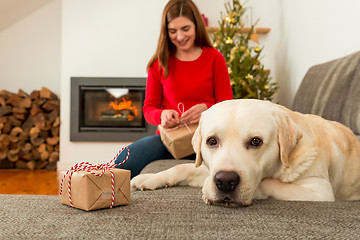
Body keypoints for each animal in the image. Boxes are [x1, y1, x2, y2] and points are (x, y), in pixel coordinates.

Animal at [131, 99, 360, 206]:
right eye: (212, 141)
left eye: (256, 141)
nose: (225, 181)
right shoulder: (209, 169)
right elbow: (181, 167)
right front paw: (150, 178)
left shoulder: (319, 191)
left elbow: (268, 182)